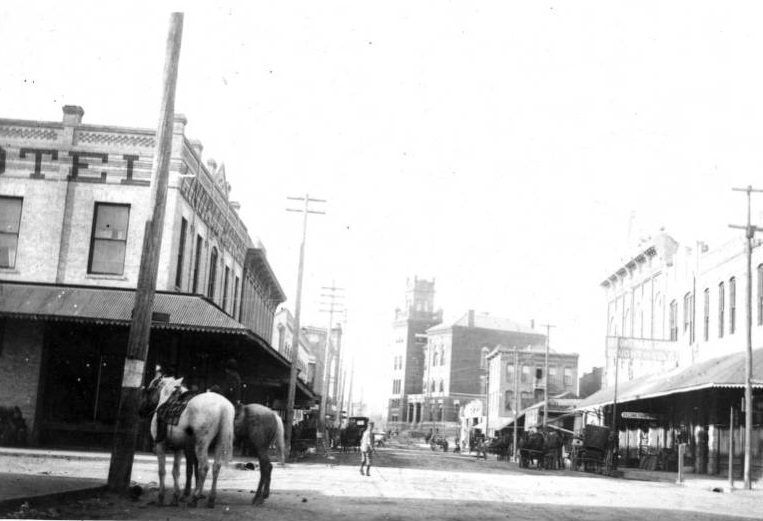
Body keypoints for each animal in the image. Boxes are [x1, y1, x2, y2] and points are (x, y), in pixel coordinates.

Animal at [140, 376, 234, 506]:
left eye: (148, 391)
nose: (141, 411)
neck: (166, 400)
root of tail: (223, 406)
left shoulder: (160, 445)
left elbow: (162, 471)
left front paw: (161, 497)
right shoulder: (179, 448)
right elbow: (176, 471)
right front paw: (175, 496)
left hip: (201, 444)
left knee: (204, 467)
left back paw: (195, 498)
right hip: (219, 443)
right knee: (216, 466)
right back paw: (211, 499)